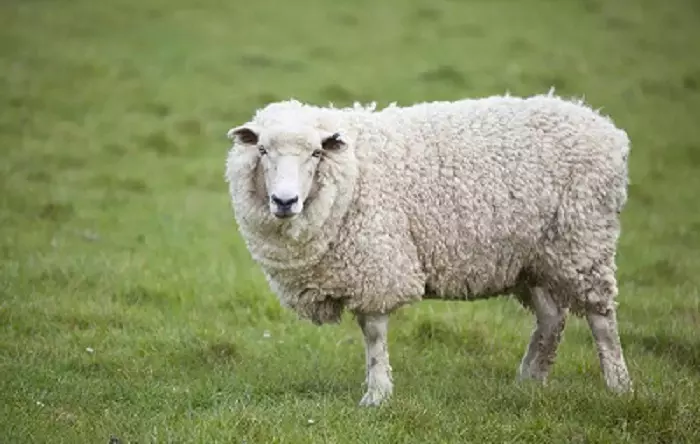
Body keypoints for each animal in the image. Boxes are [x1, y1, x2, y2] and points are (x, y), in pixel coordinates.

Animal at [223, 92, 636, 408]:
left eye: (315, 154)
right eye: (262, 150)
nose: (284, 201)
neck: (352, 171)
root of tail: (607, 129)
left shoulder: (377, 262)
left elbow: (373, 334)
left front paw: (377, 395)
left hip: (583, 240)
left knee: (601, 317)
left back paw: (619, 385)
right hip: (532, 256)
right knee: (552, 317)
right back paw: (529, 381)